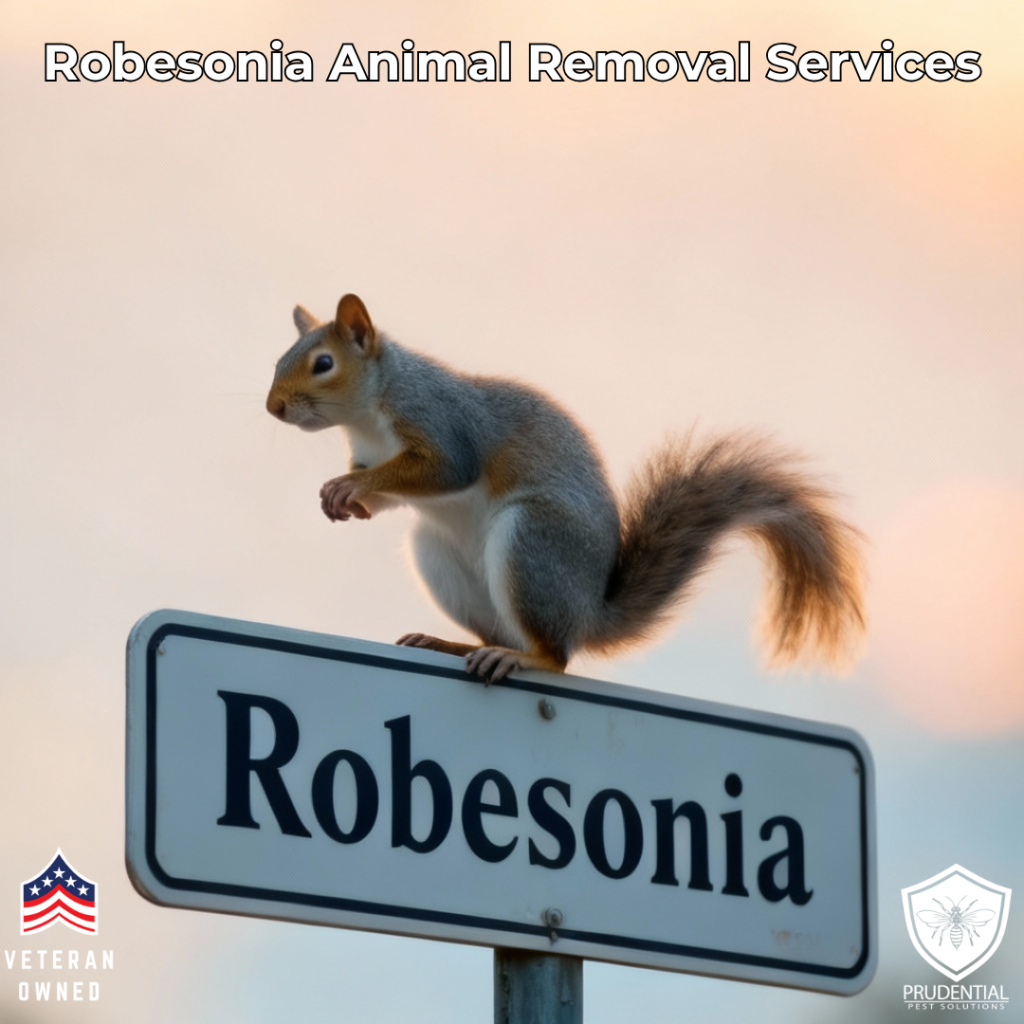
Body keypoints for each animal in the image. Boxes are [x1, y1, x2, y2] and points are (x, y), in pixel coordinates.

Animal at [266, 293, 865, 682]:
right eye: (278, 361)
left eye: (323, 363)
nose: (273, 407)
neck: (367, 414)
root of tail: (587, 612)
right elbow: (388, 499)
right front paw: (346, 499)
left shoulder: (442, 422)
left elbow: (445, 471)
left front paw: (347, 485)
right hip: (440, 556)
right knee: (499, 633)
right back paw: (452, 644)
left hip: (533, 543)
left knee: (556, 657)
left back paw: (524, 659)